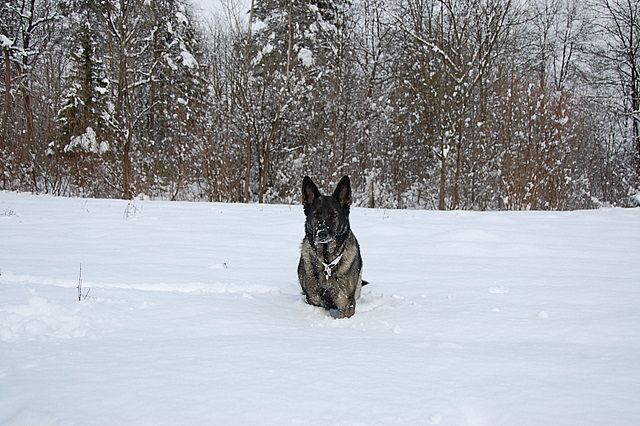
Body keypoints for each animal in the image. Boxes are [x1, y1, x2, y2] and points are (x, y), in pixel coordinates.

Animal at [296, 175, 364, 318]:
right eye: (316, 215)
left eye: (334, 215)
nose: (322, 234)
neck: (327, 261)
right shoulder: (313, 300)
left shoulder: (346, 303)